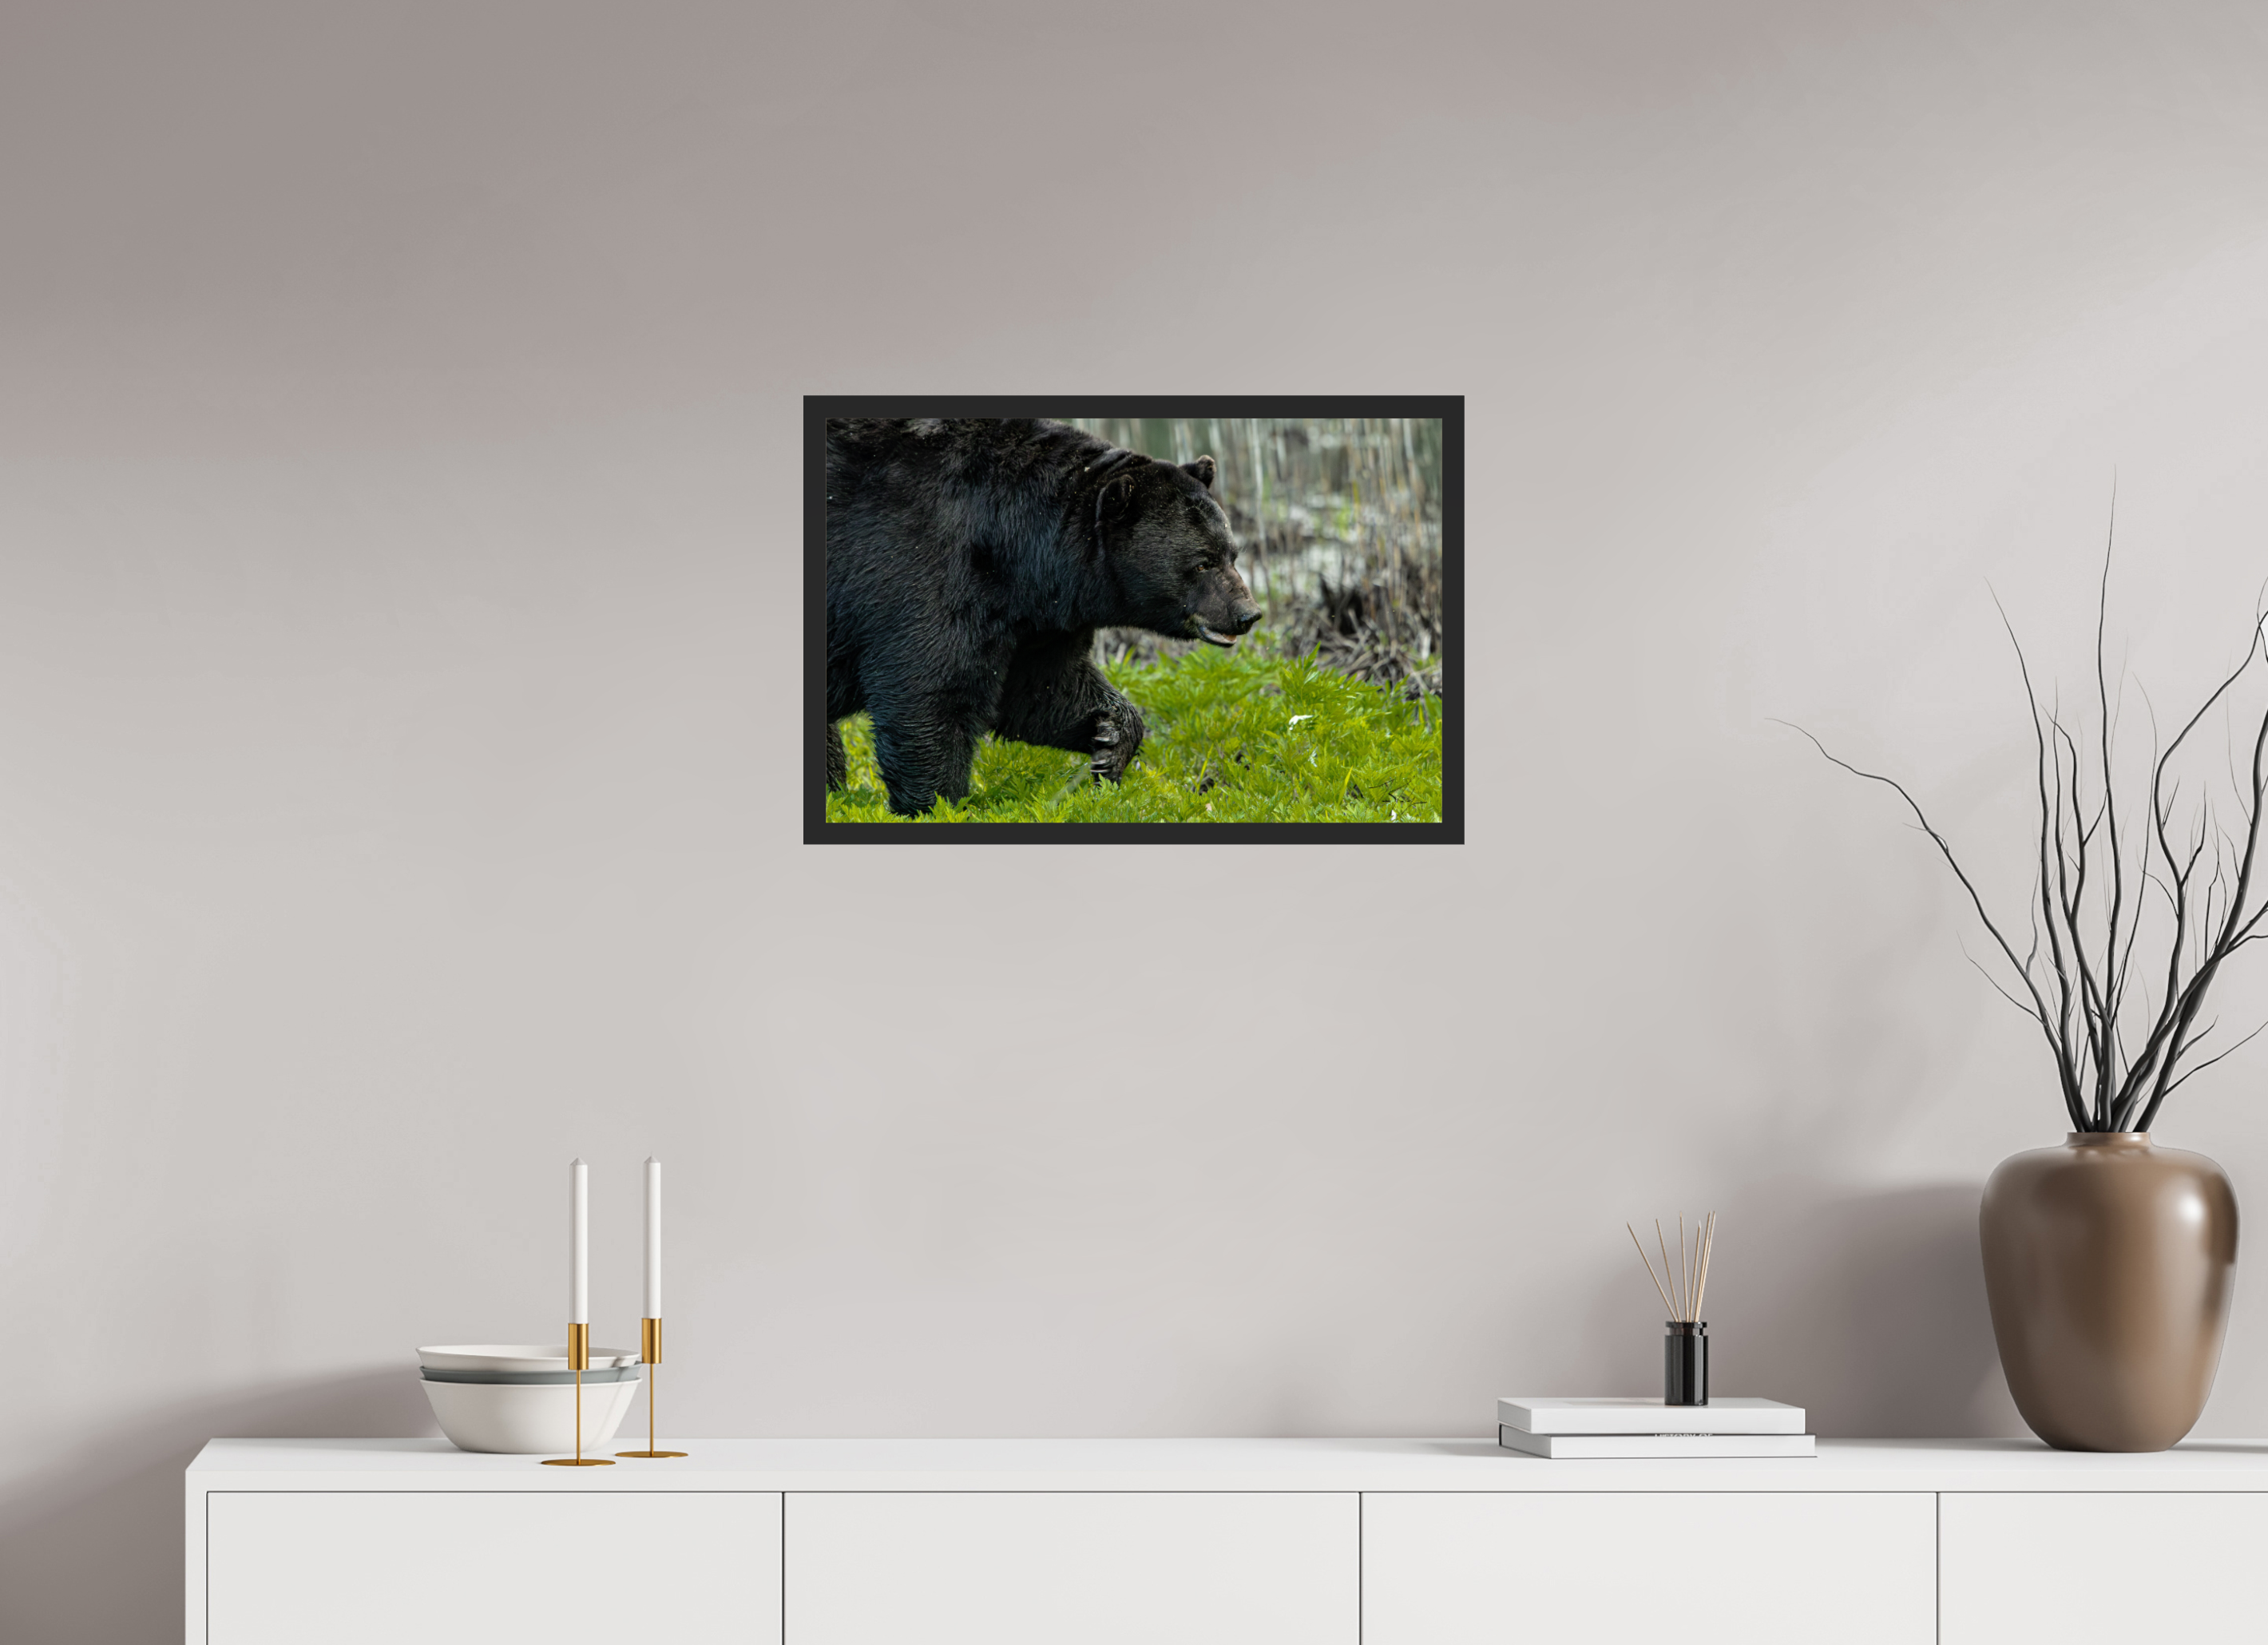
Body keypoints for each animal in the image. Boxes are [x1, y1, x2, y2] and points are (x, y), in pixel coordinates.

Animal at [825, 418, 1262, 816]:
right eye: (1202, 563)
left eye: (1232, 554)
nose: (1248, 614)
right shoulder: (924, 573)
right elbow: (931, 691)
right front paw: (938, 804)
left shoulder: (1036, 619)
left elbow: (1041, 688)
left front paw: (1108, 744)